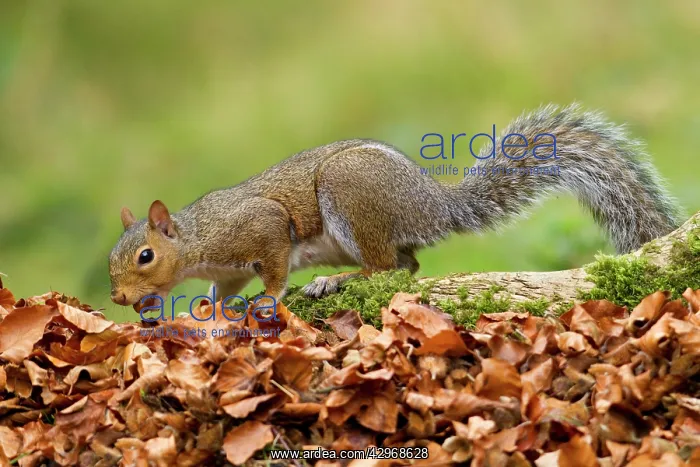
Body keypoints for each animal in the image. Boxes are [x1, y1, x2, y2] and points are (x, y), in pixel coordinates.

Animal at [109, 103, 684, 309]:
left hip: (350, 197)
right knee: (407, 264)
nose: (117, 297)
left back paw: (334, 281)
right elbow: (221, 289)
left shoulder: (260, 226)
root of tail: (433, 205)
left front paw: (268, 299)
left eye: (145, 256)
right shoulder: (227, 267)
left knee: (386, 268)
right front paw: (209, 306)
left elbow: (272, 270)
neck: (198, 238)